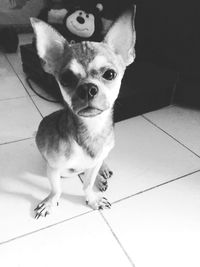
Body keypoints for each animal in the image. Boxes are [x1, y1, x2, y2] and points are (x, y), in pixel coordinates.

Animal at [31, 6, 136, 220]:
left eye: (110, 74)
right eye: (66, 78)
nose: (88, 88)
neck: (91, 130)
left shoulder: (93, 162)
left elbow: (87, 183)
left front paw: (93, 198)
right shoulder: (53, 169)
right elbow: (56, 189)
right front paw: (50, 202)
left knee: (99, 163)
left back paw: (103, 172)